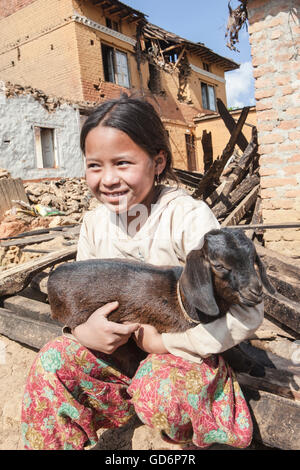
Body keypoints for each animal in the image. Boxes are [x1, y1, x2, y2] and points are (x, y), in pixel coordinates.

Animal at [48, 229, 276, 376]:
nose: (256, 291)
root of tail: (54, 275)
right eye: (219, 265)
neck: (181, 297)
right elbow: (225, 349)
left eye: (253, 259)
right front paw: (252, 366)